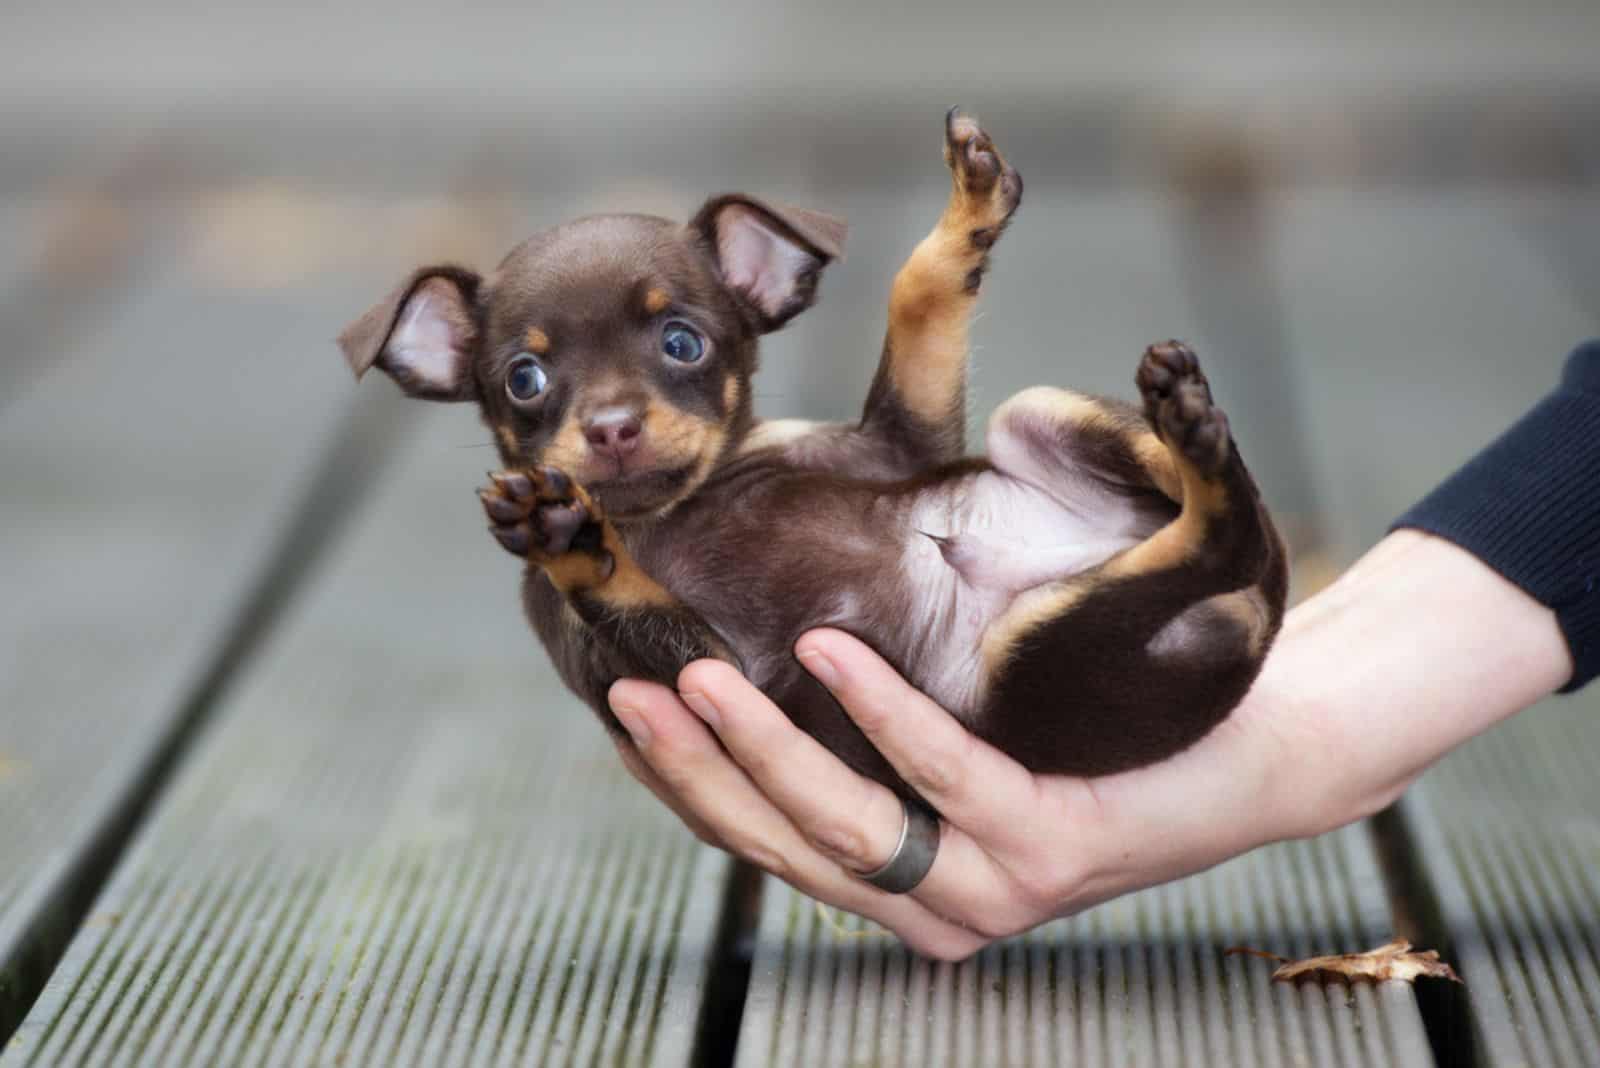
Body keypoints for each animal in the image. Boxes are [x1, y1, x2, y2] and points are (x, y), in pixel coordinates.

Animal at [337, 112, 1286, 805]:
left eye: (682, 342)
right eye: (524, 380)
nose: (610, 427)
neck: (669, 513)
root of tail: (1258, 624)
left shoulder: (899, 445)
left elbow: (918, 296)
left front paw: (968, 212)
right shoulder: (715, 672)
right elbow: (622, 589)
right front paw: (565, 535)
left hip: (1040, 422)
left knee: (1237, 529)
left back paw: (1188, 424)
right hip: (1035, 657)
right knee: (1223, 542)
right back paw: (1196, 437)